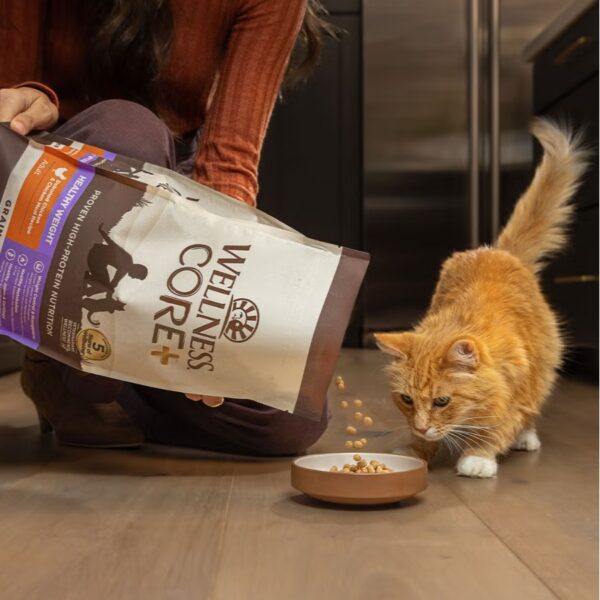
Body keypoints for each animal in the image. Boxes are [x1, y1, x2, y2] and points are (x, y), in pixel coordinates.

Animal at [375, 119, 588, 478]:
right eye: (406, 400)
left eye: (442, 402)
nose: (421, 427)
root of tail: (497, 251)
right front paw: (416, 450)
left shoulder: (513, 393)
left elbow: (500, 426)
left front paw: (477, 457)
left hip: (544, 368)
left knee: (531, 410)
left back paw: (526, 438)